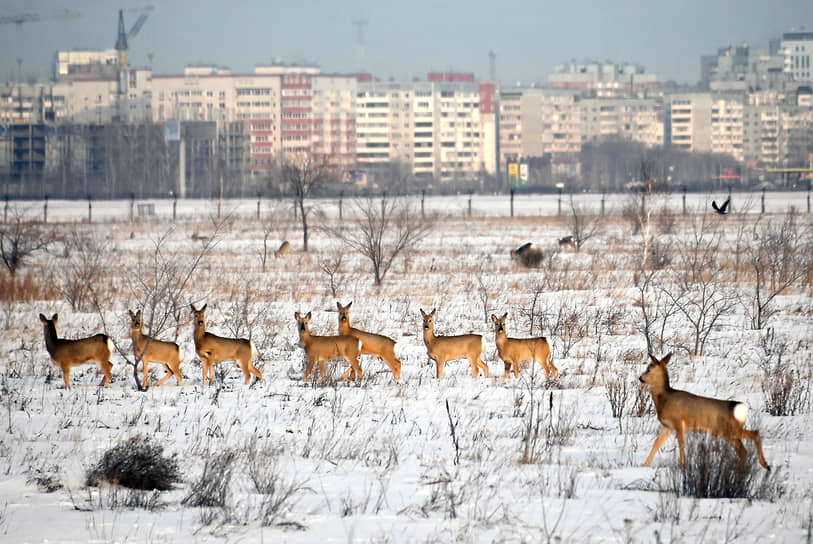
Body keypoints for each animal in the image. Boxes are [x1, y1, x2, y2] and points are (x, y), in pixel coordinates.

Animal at [640, 354, 768, 470]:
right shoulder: (668, 426)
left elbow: (681, 444)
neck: (665, 399)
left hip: (728, 429)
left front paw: (682, 466)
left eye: (649, 369)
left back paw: (765, 465)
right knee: (743, 451)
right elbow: (656, 443)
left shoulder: (679, 422)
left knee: (754, 434)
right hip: (729, 432)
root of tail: (740, 409)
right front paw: (644, 465)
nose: (640, 378)